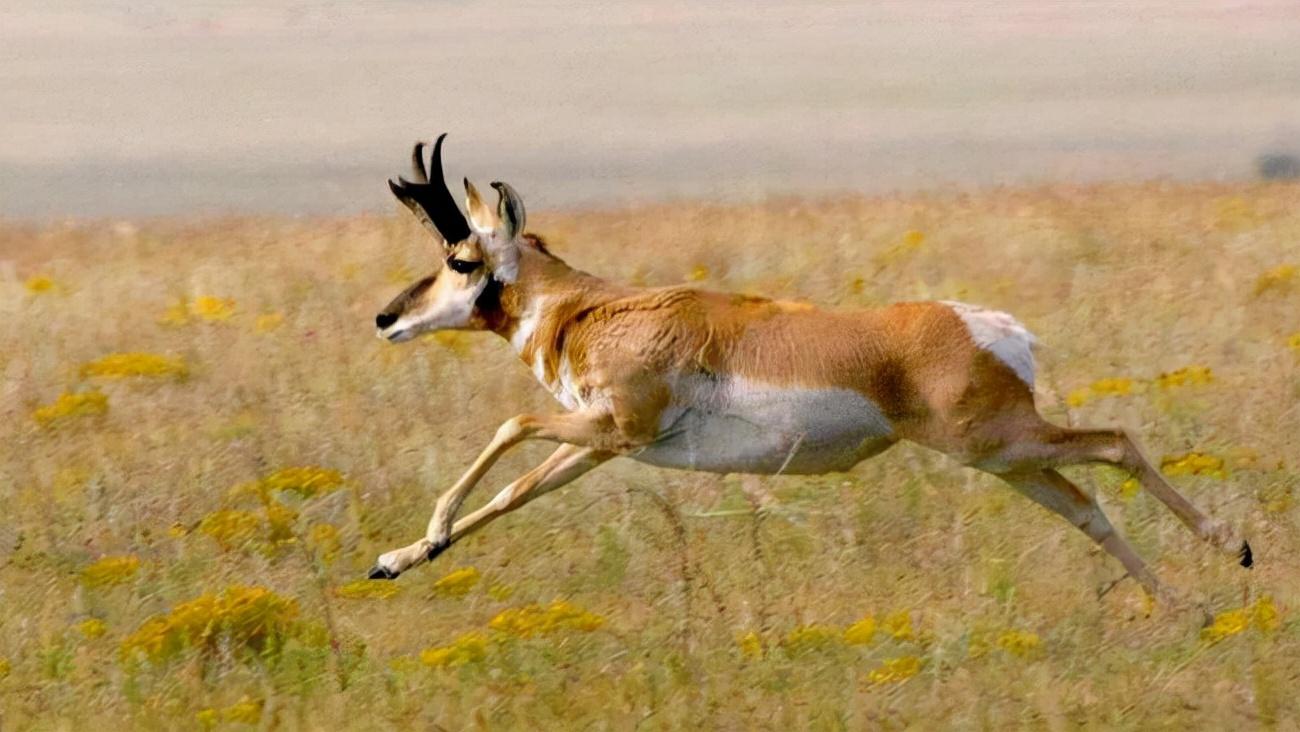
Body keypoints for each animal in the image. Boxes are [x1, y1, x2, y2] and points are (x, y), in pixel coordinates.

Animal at [366, 134, 1248, 603]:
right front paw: (399, 559)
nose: (386, 318)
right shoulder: (599, 444)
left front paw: (425, 538)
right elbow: (514, 493)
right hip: (1004, 460)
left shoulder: (611, 426)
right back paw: (1186, 609)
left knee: (1116, 442)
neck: (594, 306)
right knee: (1087, 508)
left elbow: (509, 425)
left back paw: (1233, 549)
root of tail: (989, 327)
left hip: (1000, 444)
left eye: (460, 258)